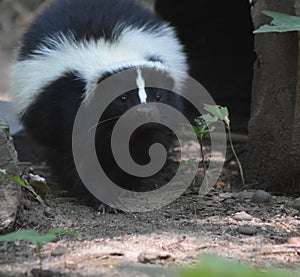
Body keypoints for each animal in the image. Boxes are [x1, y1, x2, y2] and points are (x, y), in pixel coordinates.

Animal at [11, 0, 190, 207]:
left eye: (158, 96)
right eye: (122, 98)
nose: (145, 113)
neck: (111, 52)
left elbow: (143, 146)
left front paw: (126, 183)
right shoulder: (68, 105)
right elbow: (81, 154)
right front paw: (101, 196)